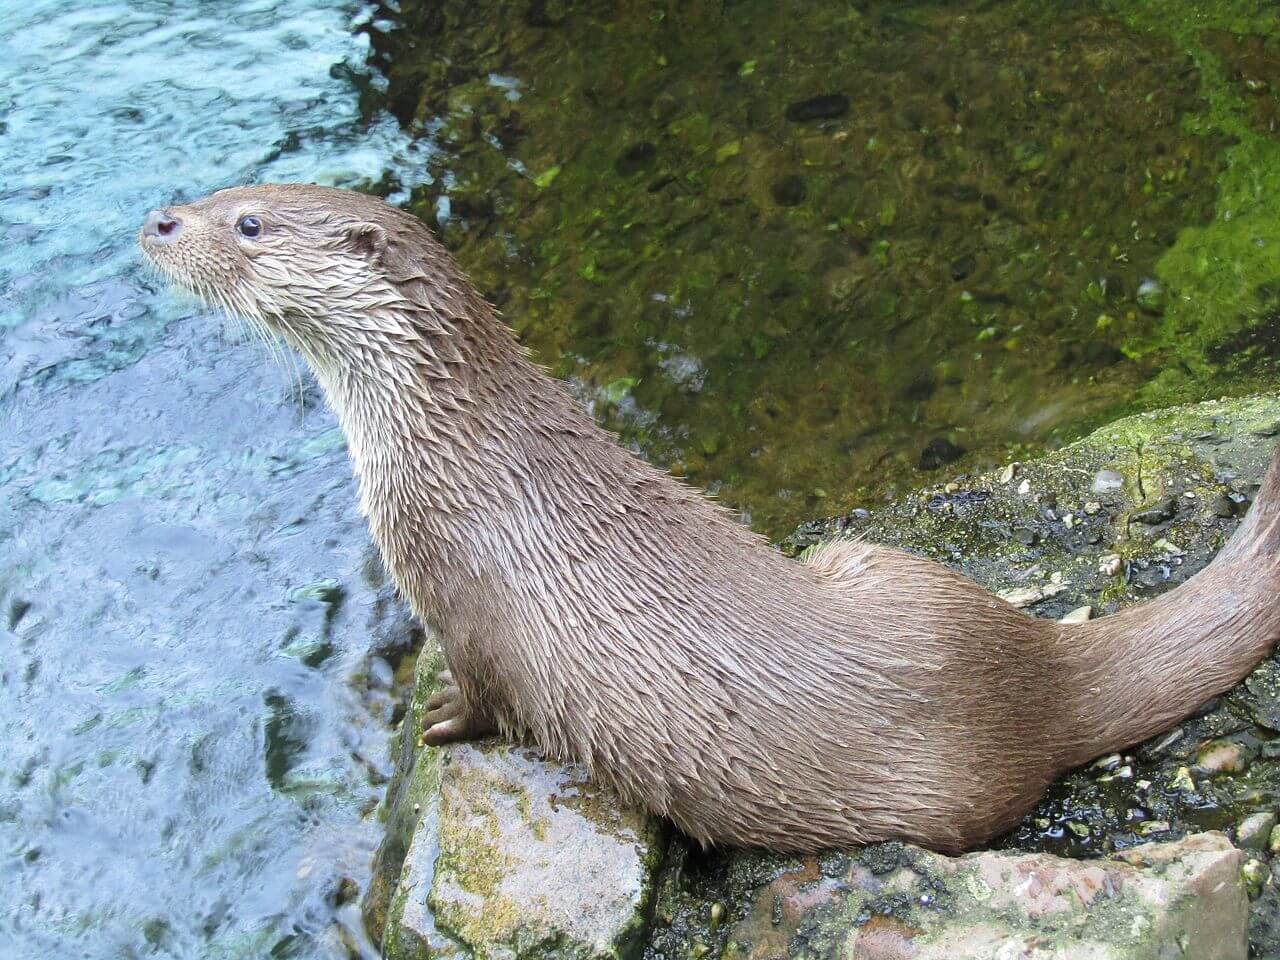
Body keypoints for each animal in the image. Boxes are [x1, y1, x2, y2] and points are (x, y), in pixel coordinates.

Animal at [140, 184, 1280, 854]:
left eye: (247, 224)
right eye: (226, 190)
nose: (157, 221)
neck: (444, 448)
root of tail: (1038, 675)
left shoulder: (457, 595)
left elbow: (486, 698)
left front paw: (438, 723)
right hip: (869, 557)